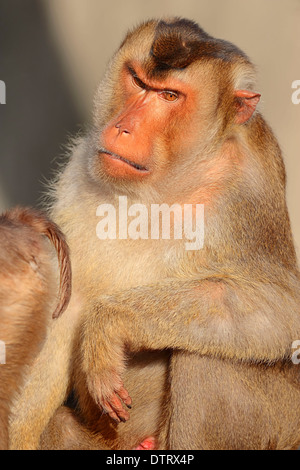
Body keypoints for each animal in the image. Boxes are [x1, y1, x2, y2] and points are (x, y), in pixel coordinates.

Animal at [9, 19, 300, 452]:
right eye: (137, 81)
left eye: (169, 95)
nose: (123, 128)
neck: (166, 184)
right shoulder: (83, 167)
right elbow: (67, 303)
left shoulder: (249, 189)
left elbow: (282, 310)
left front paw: (111, 322)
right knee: (60, 425)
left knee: (209, 355)